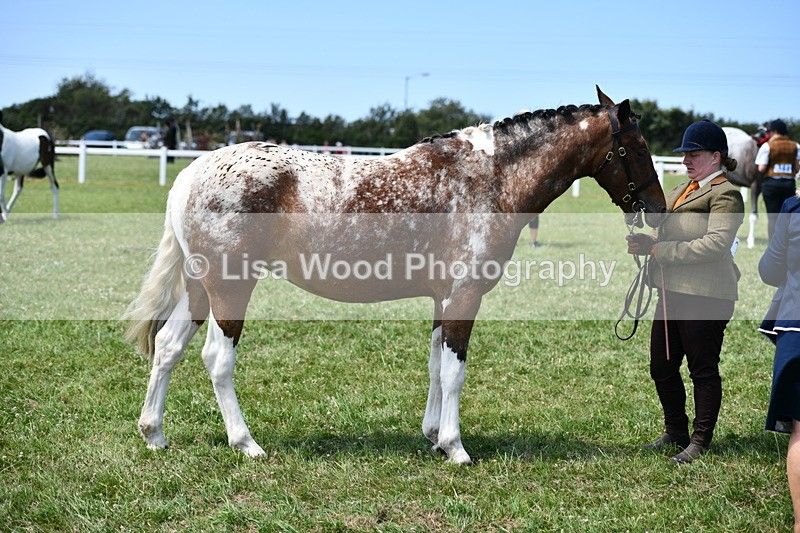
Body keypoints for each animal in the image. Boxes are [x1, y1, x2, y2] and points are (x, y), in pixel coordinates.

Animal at [124, 87, 667, 464]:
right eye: (638, 149)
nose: (659, 209)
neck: (490, 179)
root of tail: (190, 174)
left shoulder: (443, 299)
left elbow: (434, 364)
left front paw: (433, 437)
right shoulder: (465, 297)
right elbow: (454, 370)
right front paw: (456, 447)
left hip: (200, 288)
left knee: (168, 348)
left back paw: (155, 434)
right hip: (231, 288)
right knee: (218, 359)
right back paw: (246, 443)